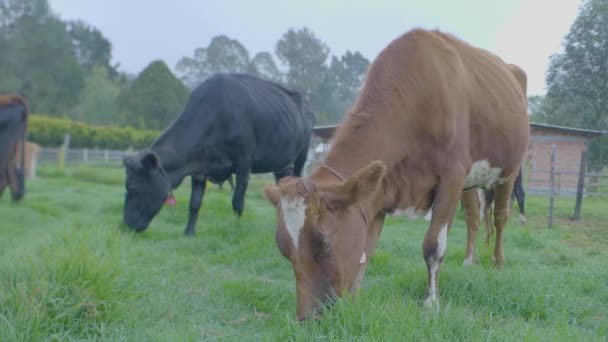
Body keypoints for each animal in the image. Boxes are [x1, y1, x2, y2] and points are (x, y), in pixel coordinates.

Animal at [121, 73, 316, 235]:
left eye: (132, 187)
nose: (127, 225)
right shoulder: (198, 168)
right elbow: (194, 203)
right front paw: (189, 232)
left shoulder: (244, 163)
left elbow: (237, 202)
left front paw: (237, 229)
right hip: (281, 164)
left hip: (300, 158)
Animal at [264, 28, 528, 320]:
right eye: (283, 249)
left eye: (322, 243)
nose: (307, 319)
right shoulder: (380, 193)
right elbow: (366, 250)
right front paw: (354, 302)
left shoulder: (452, 176)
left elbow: (433, 245)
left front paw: (431, 302)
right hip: (470, 184)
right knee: (473, 217)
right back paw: (469, 261)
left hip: (509, 171)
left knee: (501, 217)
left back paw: (498, 262)